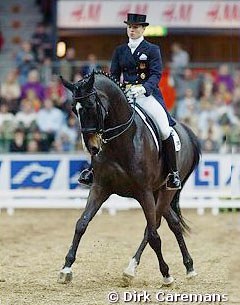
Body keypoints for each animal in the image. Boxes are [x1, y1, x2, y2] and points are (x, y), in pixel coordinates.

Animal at [58, 70, 201, 284]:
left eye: (91, 106)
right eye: (73, 109)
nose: (91, 147)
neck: (120, 141)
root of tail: (186, 130)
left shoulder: (143, 192)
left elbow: (153, 235)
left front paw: (166, 274)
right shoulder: (100, 188)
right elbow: (81, 224)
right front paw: (66, 268)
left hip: (165, 191)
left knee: (153, 227)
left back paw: (133, 268)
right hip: (157, 193)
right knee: (173, 223)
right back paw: (188, 266)